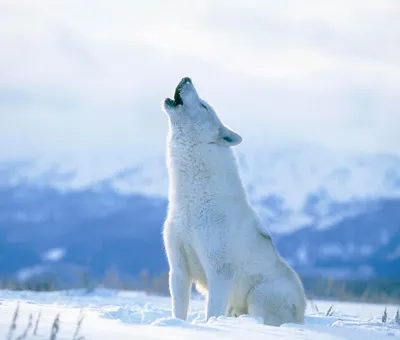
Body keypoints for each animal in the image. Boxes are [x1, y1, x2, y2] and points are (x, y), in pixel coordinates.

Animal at [161, 77, 304, 326]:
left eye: (204, 106)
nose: (186, 78)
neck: (192, 202)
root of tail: (303, 313)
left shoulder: (220, 272)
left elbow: (211, 311)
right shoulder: (178, 269)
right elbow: (178, 311)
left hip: (259, 296)